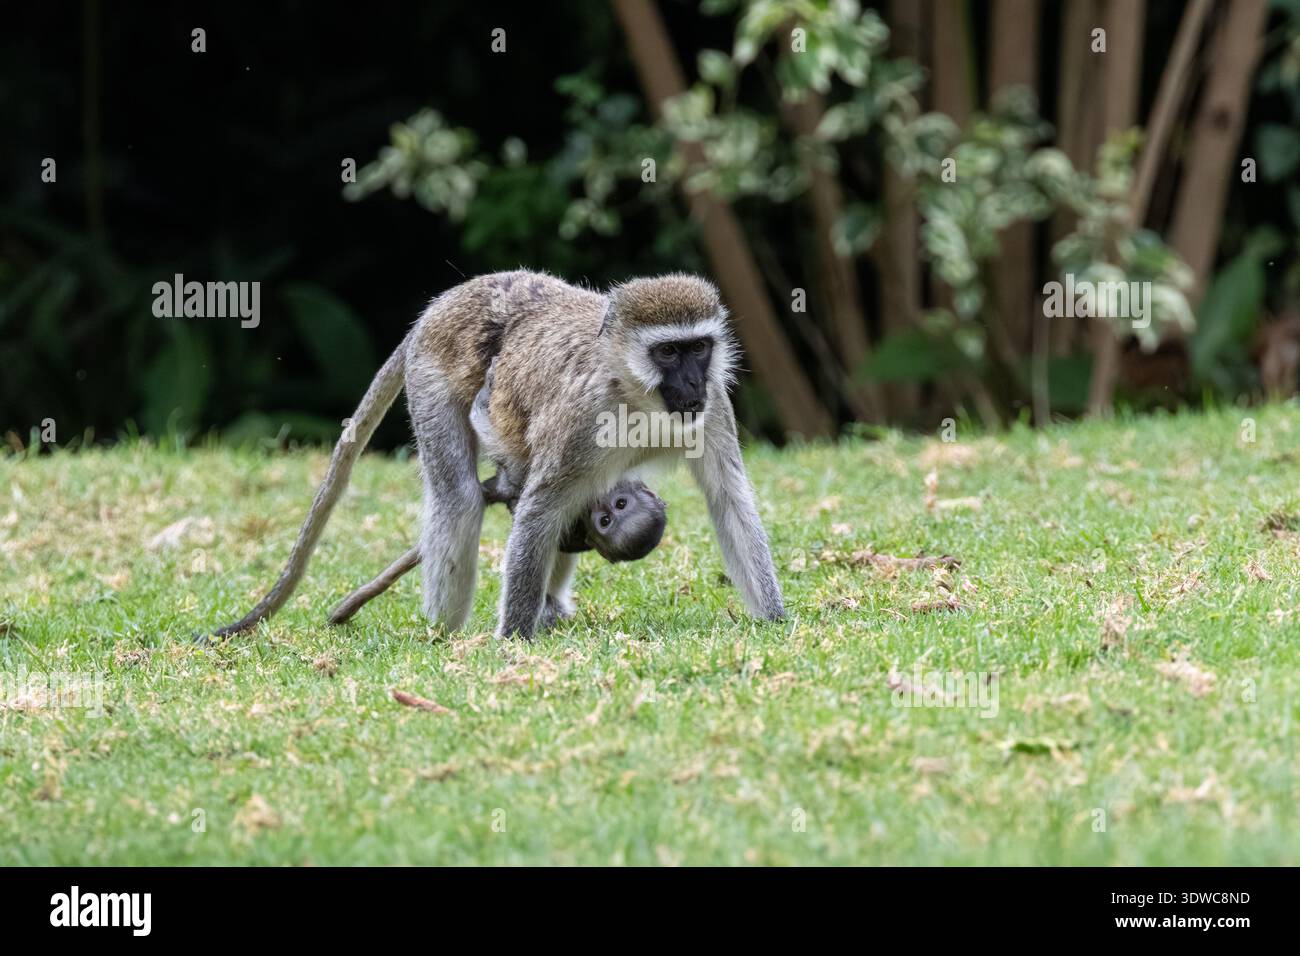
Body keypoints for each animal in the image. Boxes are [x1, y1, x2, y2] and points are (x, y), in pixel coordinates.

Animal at [209, 270, 784, 641]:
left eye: (699, 348)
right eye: (668, 352)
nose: (690, 384)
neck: (638, 396)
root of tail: (440, 308)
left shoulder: (715, 407)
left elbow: (728, 499)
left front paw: (776, 621)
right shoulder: (580, 420)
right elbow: (540, 509)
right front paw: (513, 642)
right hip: (432, 376)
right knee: (460, 498)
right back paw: (442, 633)